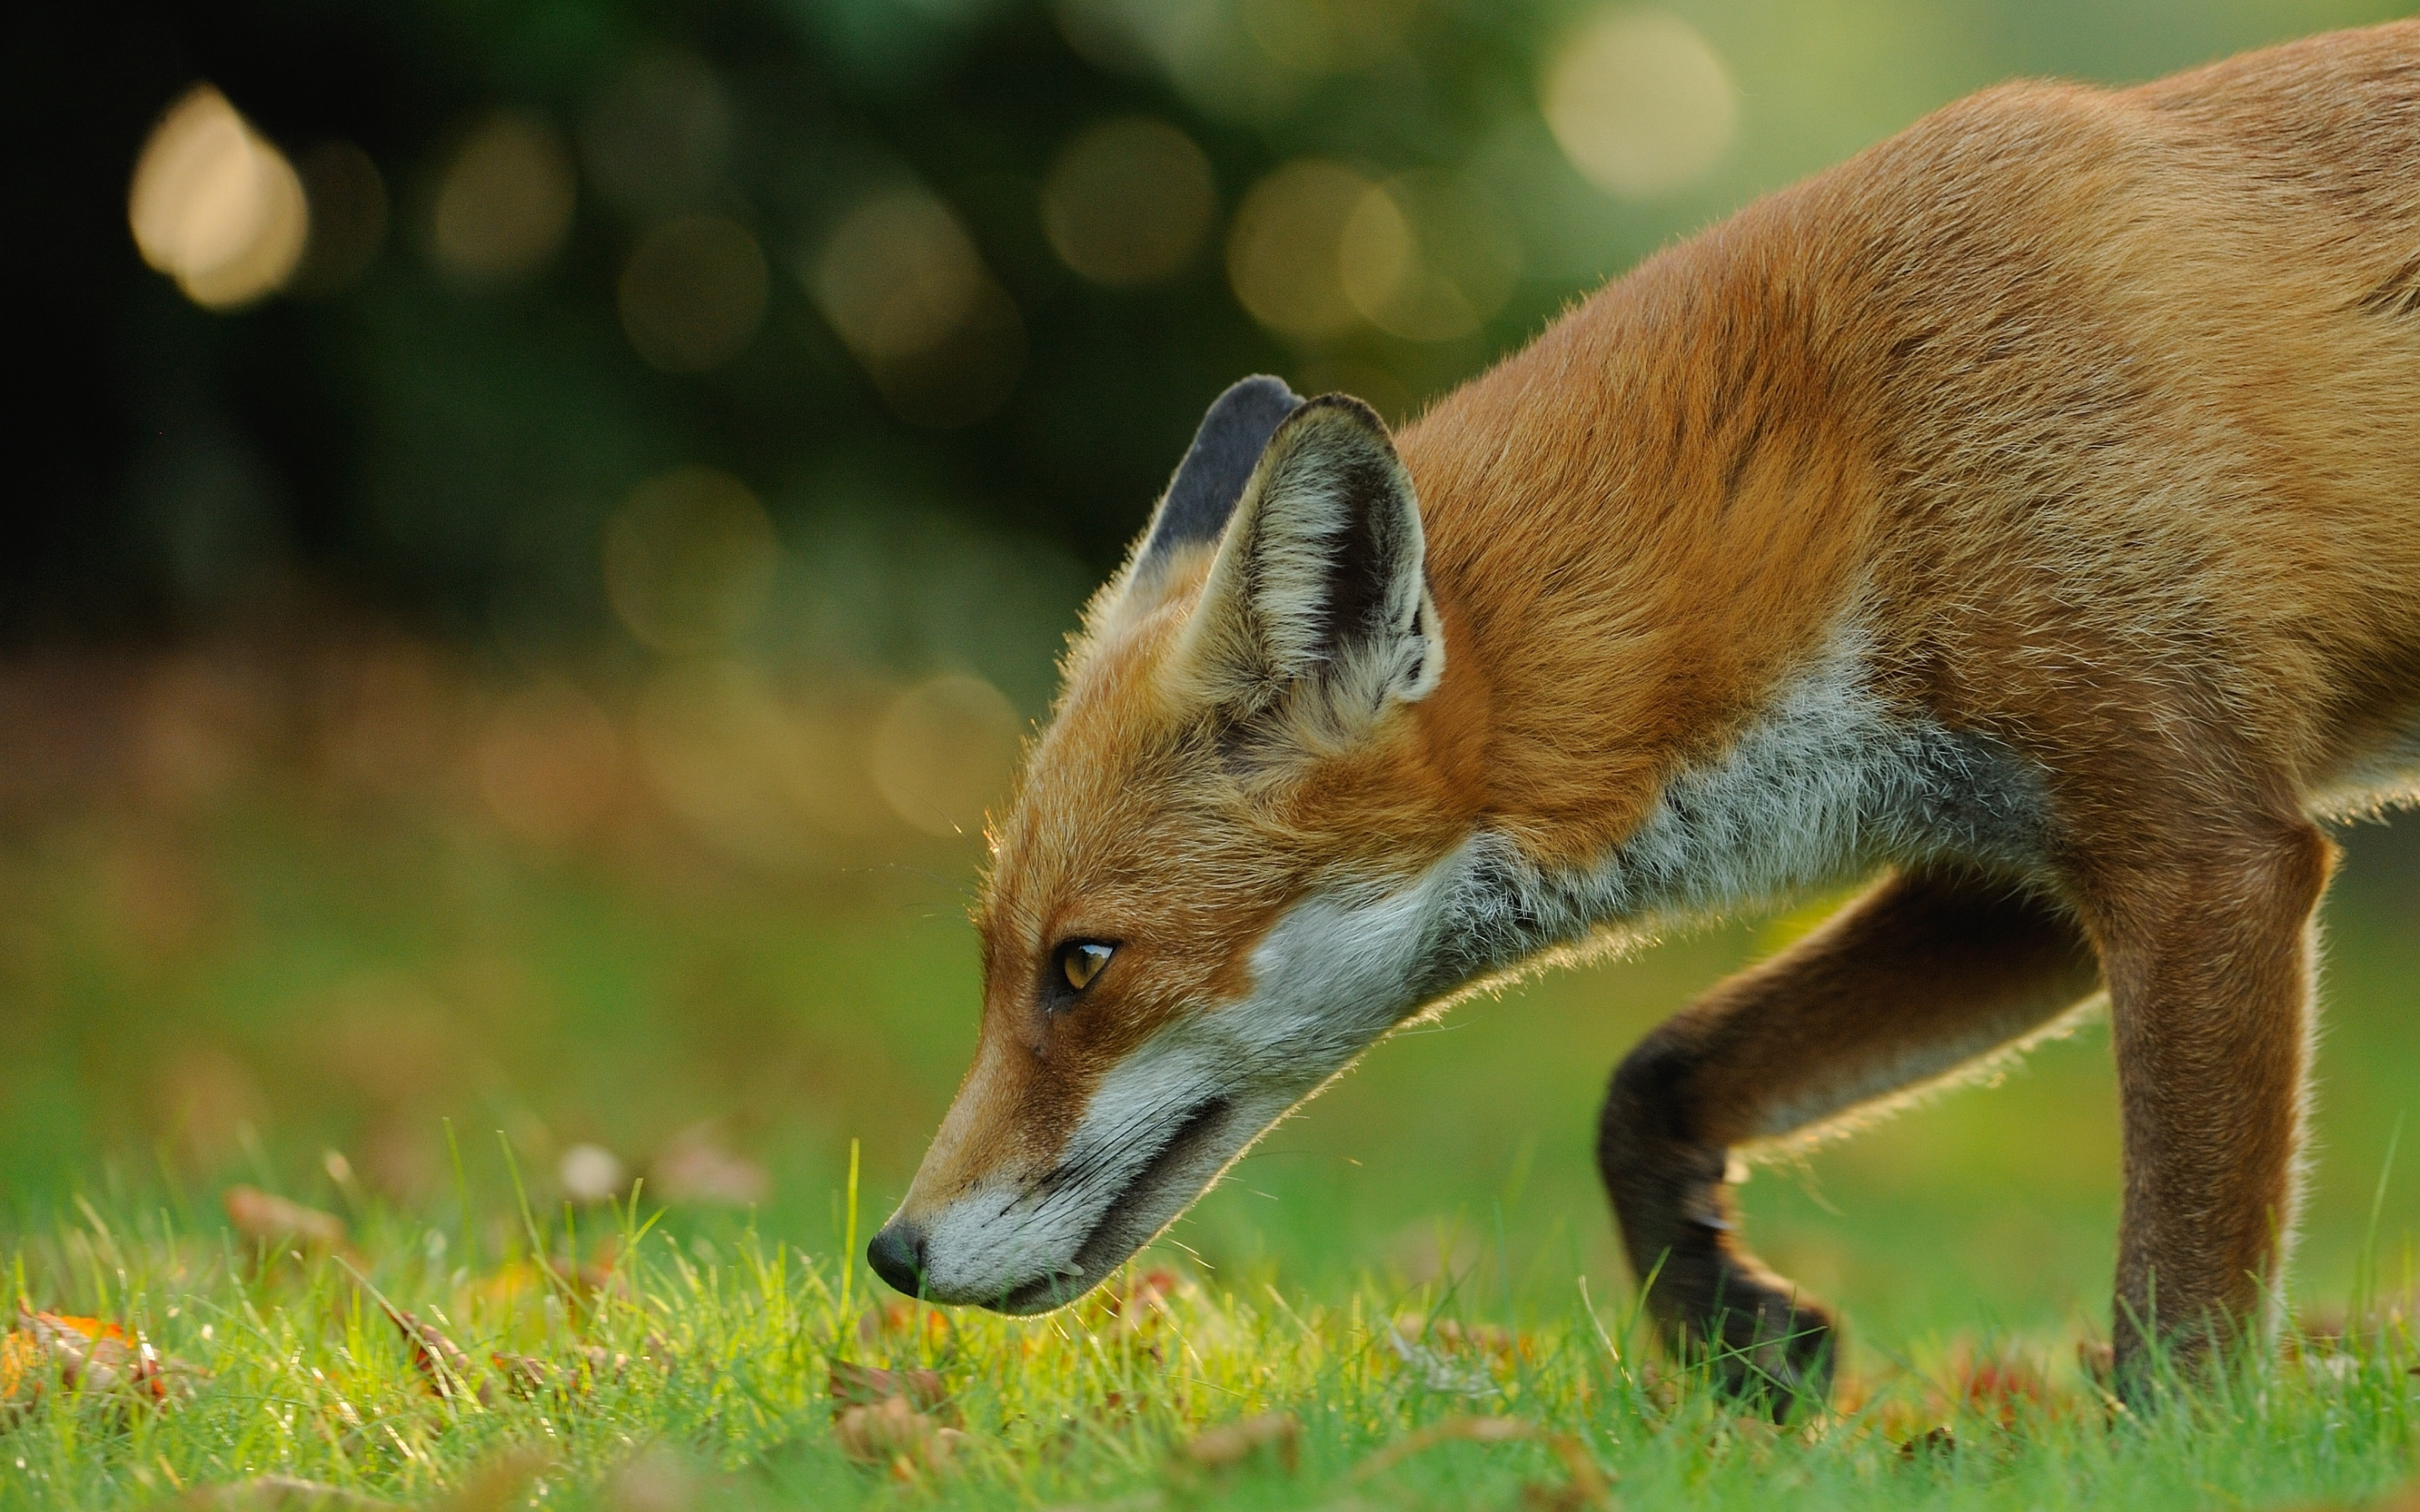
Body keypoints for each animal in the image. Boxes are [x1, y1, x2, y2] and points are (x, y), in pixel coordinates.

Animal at [866, 24, 2420, 1403]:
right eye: (997, 962)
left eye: (1082, 966)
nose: (892, 1253)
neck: (1860, 456)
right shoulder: (2015, 879)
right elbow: (1649, 1078)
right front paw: (1732, 1334)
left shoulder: (2206, 857)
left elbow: (2179, 1311)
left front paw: (2174, 1443)